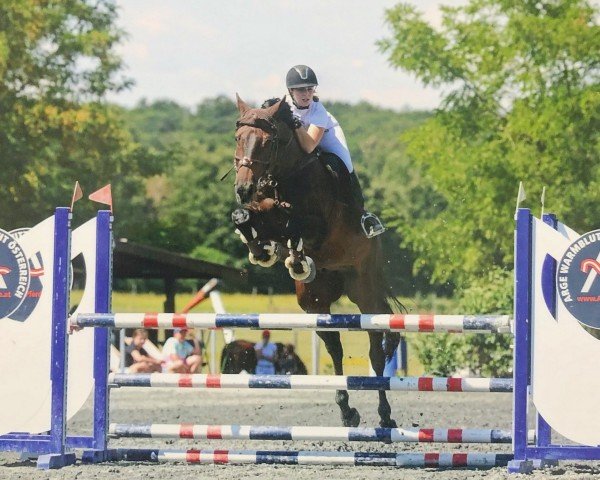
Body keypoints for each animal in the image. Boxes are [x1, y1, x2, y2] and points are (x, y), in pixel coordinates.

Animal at [230, 94, 404, 428]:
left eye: (267, 142)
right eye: (238, 138)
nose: (243, 189)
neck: (285, 176)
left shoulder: (317, 224)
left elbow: (294, 224)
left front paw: (285, 250)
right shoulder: (261, 209)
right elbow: (244, 216)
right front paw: (262, 249)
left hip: (364, 287)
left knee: (377, 345)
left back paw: (385, 415)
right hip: (314, 299)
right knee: (334, 345)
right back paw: (347, 411)